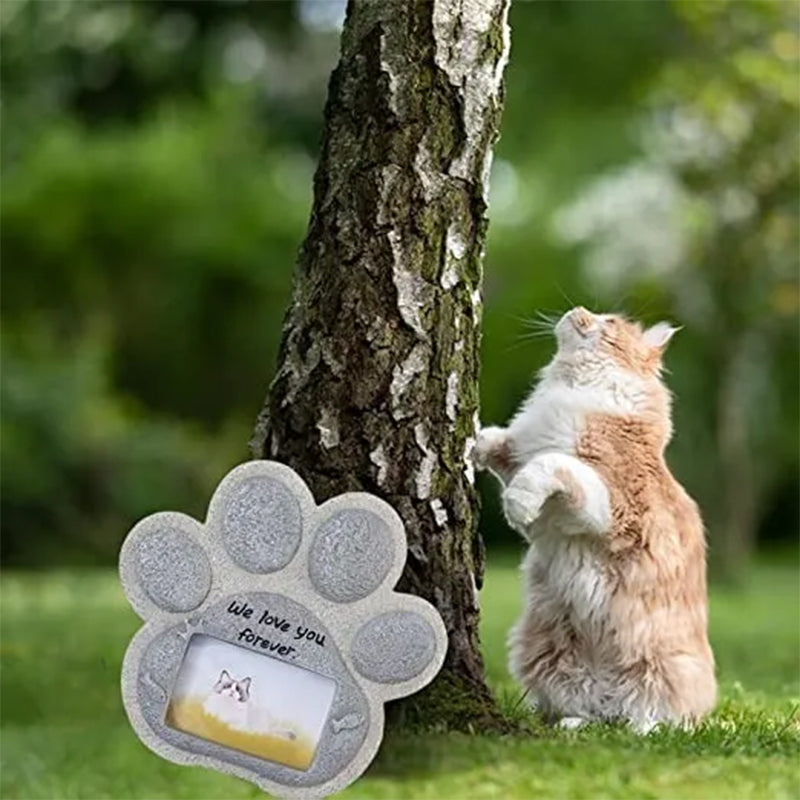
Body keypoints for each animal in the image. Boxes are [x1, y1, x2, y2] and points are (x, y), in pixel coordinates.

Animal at [476, 306, 720, 732]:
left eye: (608, 322)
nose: (577, 311)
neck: (576, 388)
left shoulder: (609, 505)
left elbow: (551, 465)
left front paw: (516, 503)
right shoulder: (521, 458)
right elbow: (501, 443)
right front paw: (472, 445)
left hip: (664, 672)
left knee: (658, 718)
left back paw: (643, 729)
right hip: (547, 657)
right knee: (594, 714)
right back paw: (574, 725)